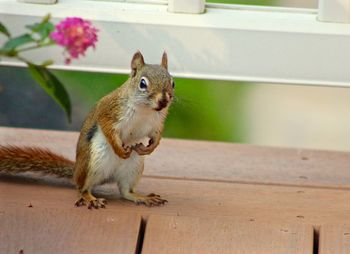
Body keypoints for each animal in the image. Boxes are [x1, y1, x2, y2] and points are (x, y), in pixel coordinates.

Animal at [0, 51, 174, 208]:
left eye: (173, 83)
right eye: (142, 84)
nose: (164, 100)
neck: (145, 110)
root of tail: (76, 171)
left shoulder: (157, 123)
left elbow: (156, 135)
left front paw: (151, 147)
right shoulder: (109, 113)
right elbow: (108, 130)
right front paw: (119, 149)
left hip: (133, 167)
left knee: (126, 191)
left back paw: (142, 197)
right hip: (92, 163)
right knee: (82, 187)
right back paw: (90, 198)